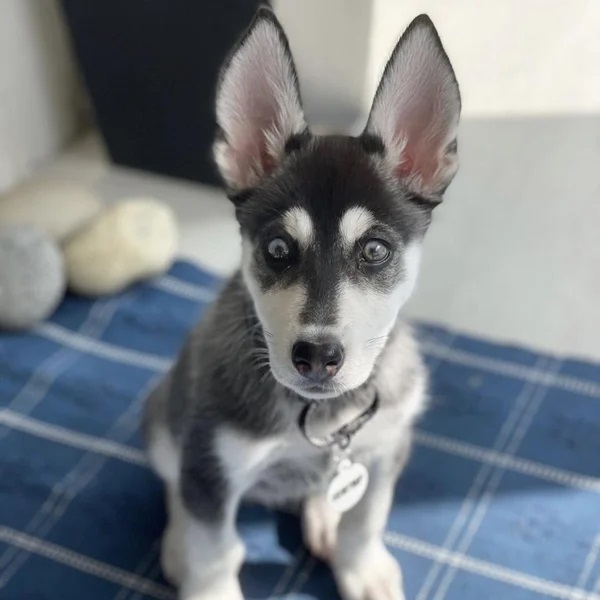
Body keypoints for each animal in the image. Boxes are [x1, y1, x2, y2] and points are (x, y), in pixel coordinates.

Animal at [143, 5, 462, 600]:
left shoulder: (387, 446)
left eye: (375, 250)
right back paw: (176, 543)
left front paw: (361, 566)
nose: (316, 356)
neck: (320, 419)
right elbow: (214, 551)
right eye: (276, 249)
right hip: (162, 421)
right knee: (174, 484)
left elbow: (368, 518)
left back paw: (324, 518)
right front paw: (203, 574)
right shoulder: (211, 464)